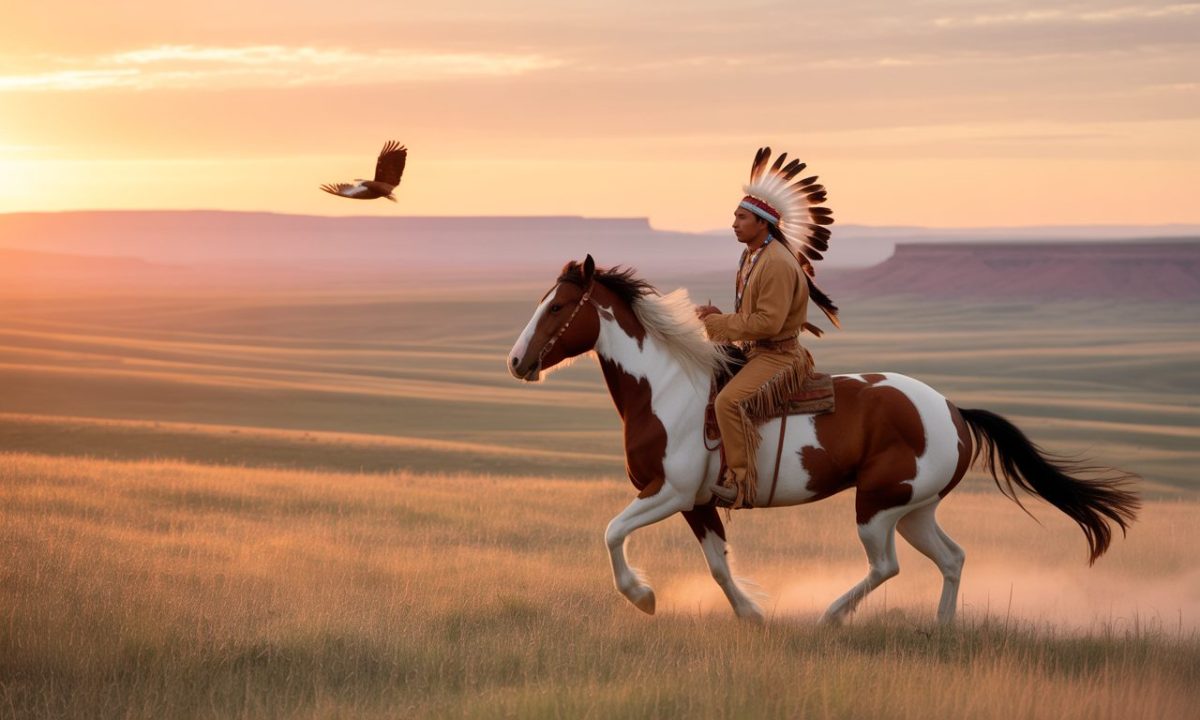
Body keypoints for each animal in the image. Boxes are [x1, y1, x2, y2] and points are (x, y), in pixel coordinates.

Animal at [507, 255, 1140, 624]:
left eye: (557, 306)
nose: (516, 361)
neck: (665, 388)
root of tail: (954, 412)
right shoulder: (698, 503)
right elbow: (718, 565)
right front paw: (751, 616)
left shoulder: (668, 493)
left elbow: (612, 532)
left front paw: (643, 597)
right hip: (916, 509)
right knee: (953, 558)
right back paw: (942, 629)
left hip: (877, 505)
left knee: (886, 567)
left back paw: (831, 616)